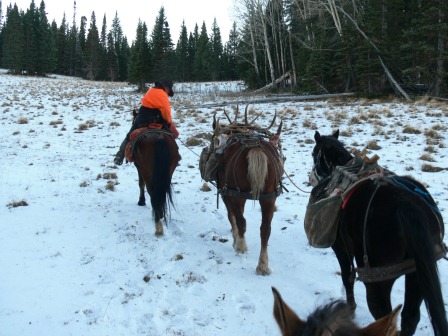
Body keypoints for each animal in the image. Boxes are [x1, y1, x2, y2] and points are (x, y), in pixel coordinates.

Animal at [214, 106, 284, 274]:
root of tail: (255, 148)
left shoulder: (227, 193)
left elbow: (232, 216)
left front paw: (236, 240)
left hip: (235, 194)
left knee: (242, 221)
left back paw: (241, 247)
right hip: (269, 197)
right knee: (265, 229)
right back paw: (263, 265)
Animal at [308, 129, 448, 336]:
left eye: (313, 154)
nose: (311, 178)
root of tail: (406, 206)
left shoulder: (340, 247)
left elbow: (347, 276)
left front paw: (350, 309)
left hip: (378, 282)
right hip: (416, 273)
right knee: (410, 318)